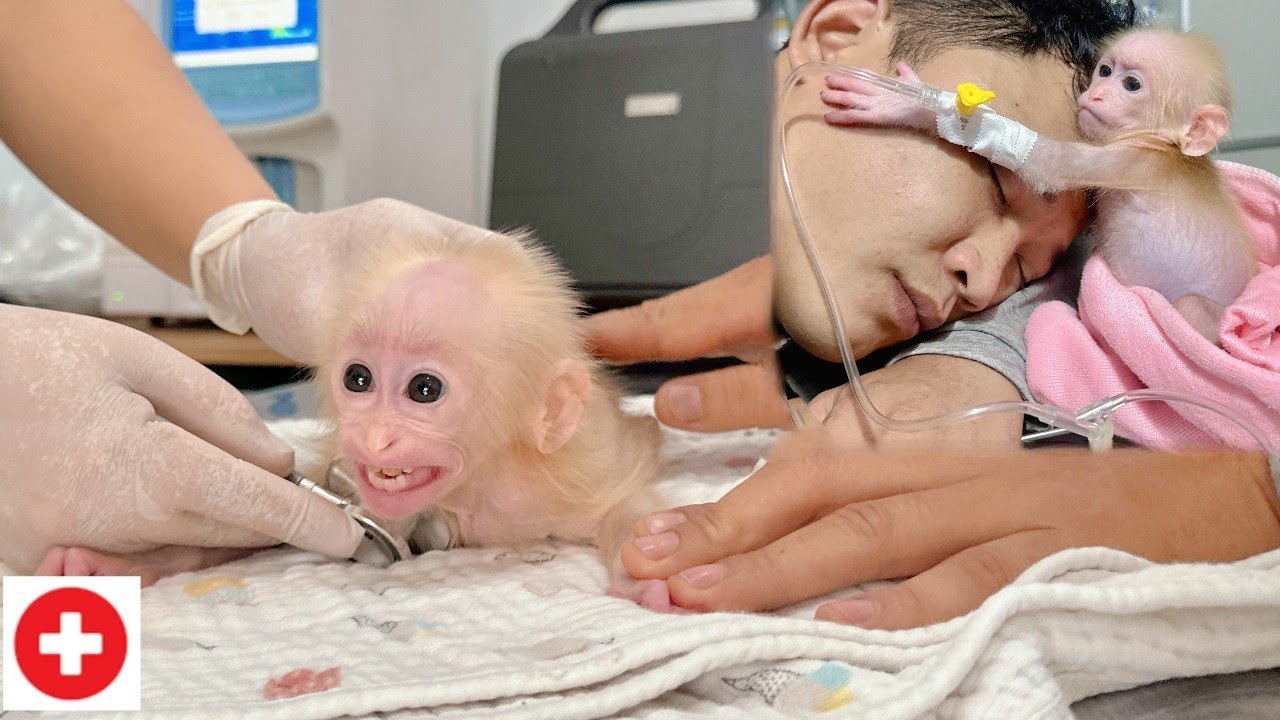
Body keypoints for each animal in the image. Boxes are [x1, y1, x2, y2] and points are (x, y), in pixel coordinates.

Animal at [820, 28, 1258, 343]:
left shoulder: (1138, 162)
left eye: (1131, 85)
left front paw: (913, 107)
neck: (1164, 146)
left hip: (1202, 315)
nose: (1096, 94)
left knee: (1190, 311)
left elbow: (1050, 166)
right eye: (1105, 71)